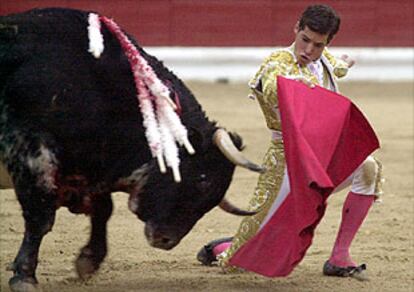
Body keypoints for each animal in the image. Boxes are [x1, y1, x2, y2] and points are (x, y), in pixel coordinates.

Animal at [0, 7, 264, 292]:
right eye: (202, 180)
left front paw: (88, 262)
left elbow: (103, 210)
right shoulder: (31, 151)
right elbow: (41, 216)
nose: (166, 240)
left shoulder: (90, 168)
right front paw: (24, 276)